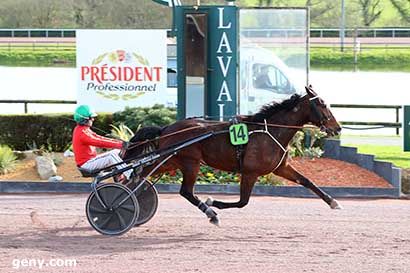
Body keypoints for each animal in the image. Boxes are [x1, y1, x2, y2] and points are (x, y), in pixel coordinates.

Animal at [123, 86, 342, 224]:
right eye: (322, 103)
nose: (337, 128)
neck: (269, 131)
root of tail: (167, 128)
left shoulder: (281, 167)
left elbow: (307, 181)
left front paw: (333, 202)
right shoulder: (250, 172)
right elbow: (243, 202)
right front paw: (213, 203)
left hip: (172, 161)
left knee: (142, 174)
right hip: (190, 162)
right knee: (184, 191)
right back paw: (211, 214)